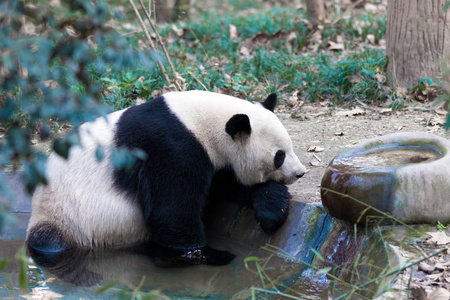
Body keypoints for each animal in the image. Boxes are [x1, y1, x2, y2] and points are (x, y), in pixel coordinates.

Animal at [24, 90, 306, 266]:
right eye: (279, 155)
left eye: (291, 147)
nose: (300, 173)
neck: (200, 123)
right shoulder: (171, 148)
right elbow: (172, 210)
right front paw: (207, 254)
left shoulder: (213, 161)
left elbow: (226, 184)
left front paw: (273, 209)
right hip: (66, 216)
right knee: (52, 241)